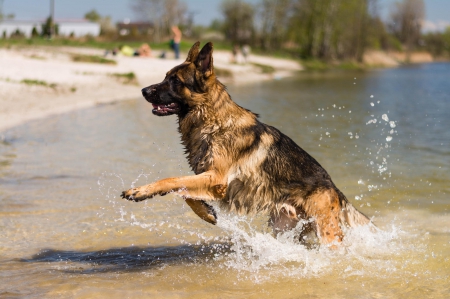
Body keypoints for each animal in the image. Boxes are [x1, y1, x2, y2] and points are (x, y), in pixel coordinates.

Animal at [121, 41, 370, 245]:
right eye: (165, 77)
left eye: (174, 81)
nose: (143, 90)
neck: (214, 121)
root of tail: (334, 187)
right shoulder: (209, 179)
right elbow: (184, 191)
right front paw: (207, 213)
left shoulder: (216, 179)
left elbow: (172, 180)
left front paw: (140, 191)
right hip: (283, 227)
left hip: (326, 233)